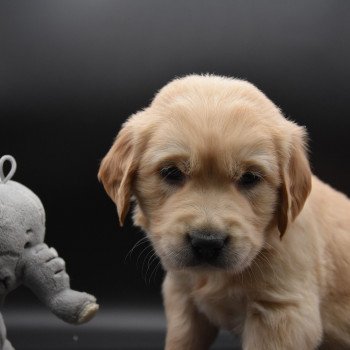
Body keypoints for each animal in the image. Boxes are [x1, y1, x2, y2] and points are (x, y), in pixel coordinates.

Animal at [97, 75, 350, 348]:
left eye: (250, 178)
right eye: (171, 172)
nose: (207, 243)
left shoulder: (282, 313)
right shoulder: (183, 298)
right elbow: (182, 340)